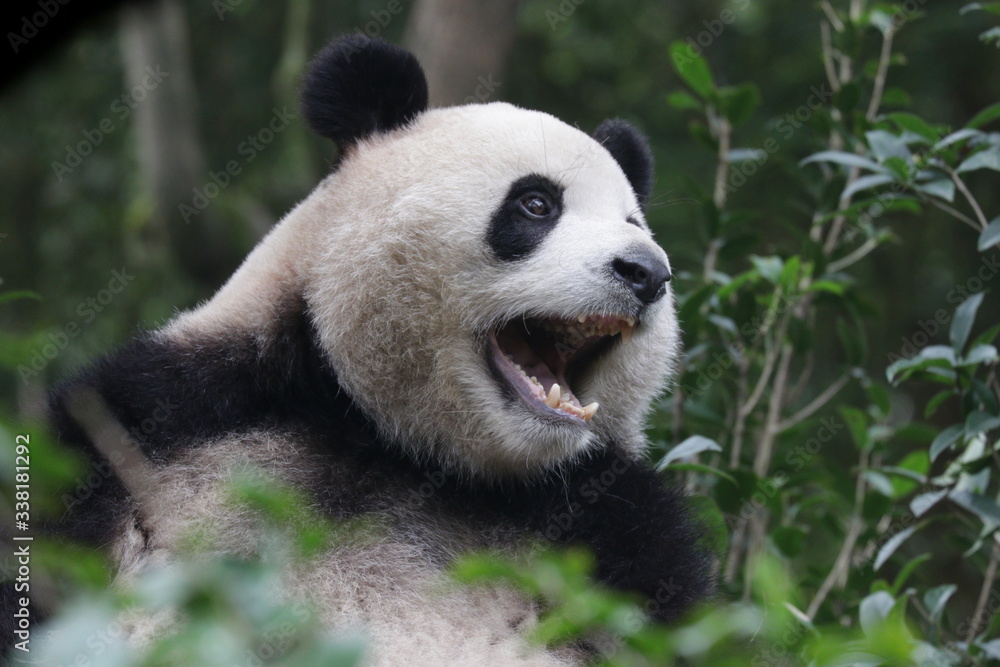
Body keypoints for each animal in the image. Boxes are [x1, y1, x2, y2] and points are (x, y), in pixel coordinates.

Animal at [27, 35, 714, 665]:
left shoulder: (612, 523)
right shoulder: (161, 420)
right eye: (537, 203)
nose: (647, 273)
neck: (395, 443)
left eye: (633, 223)